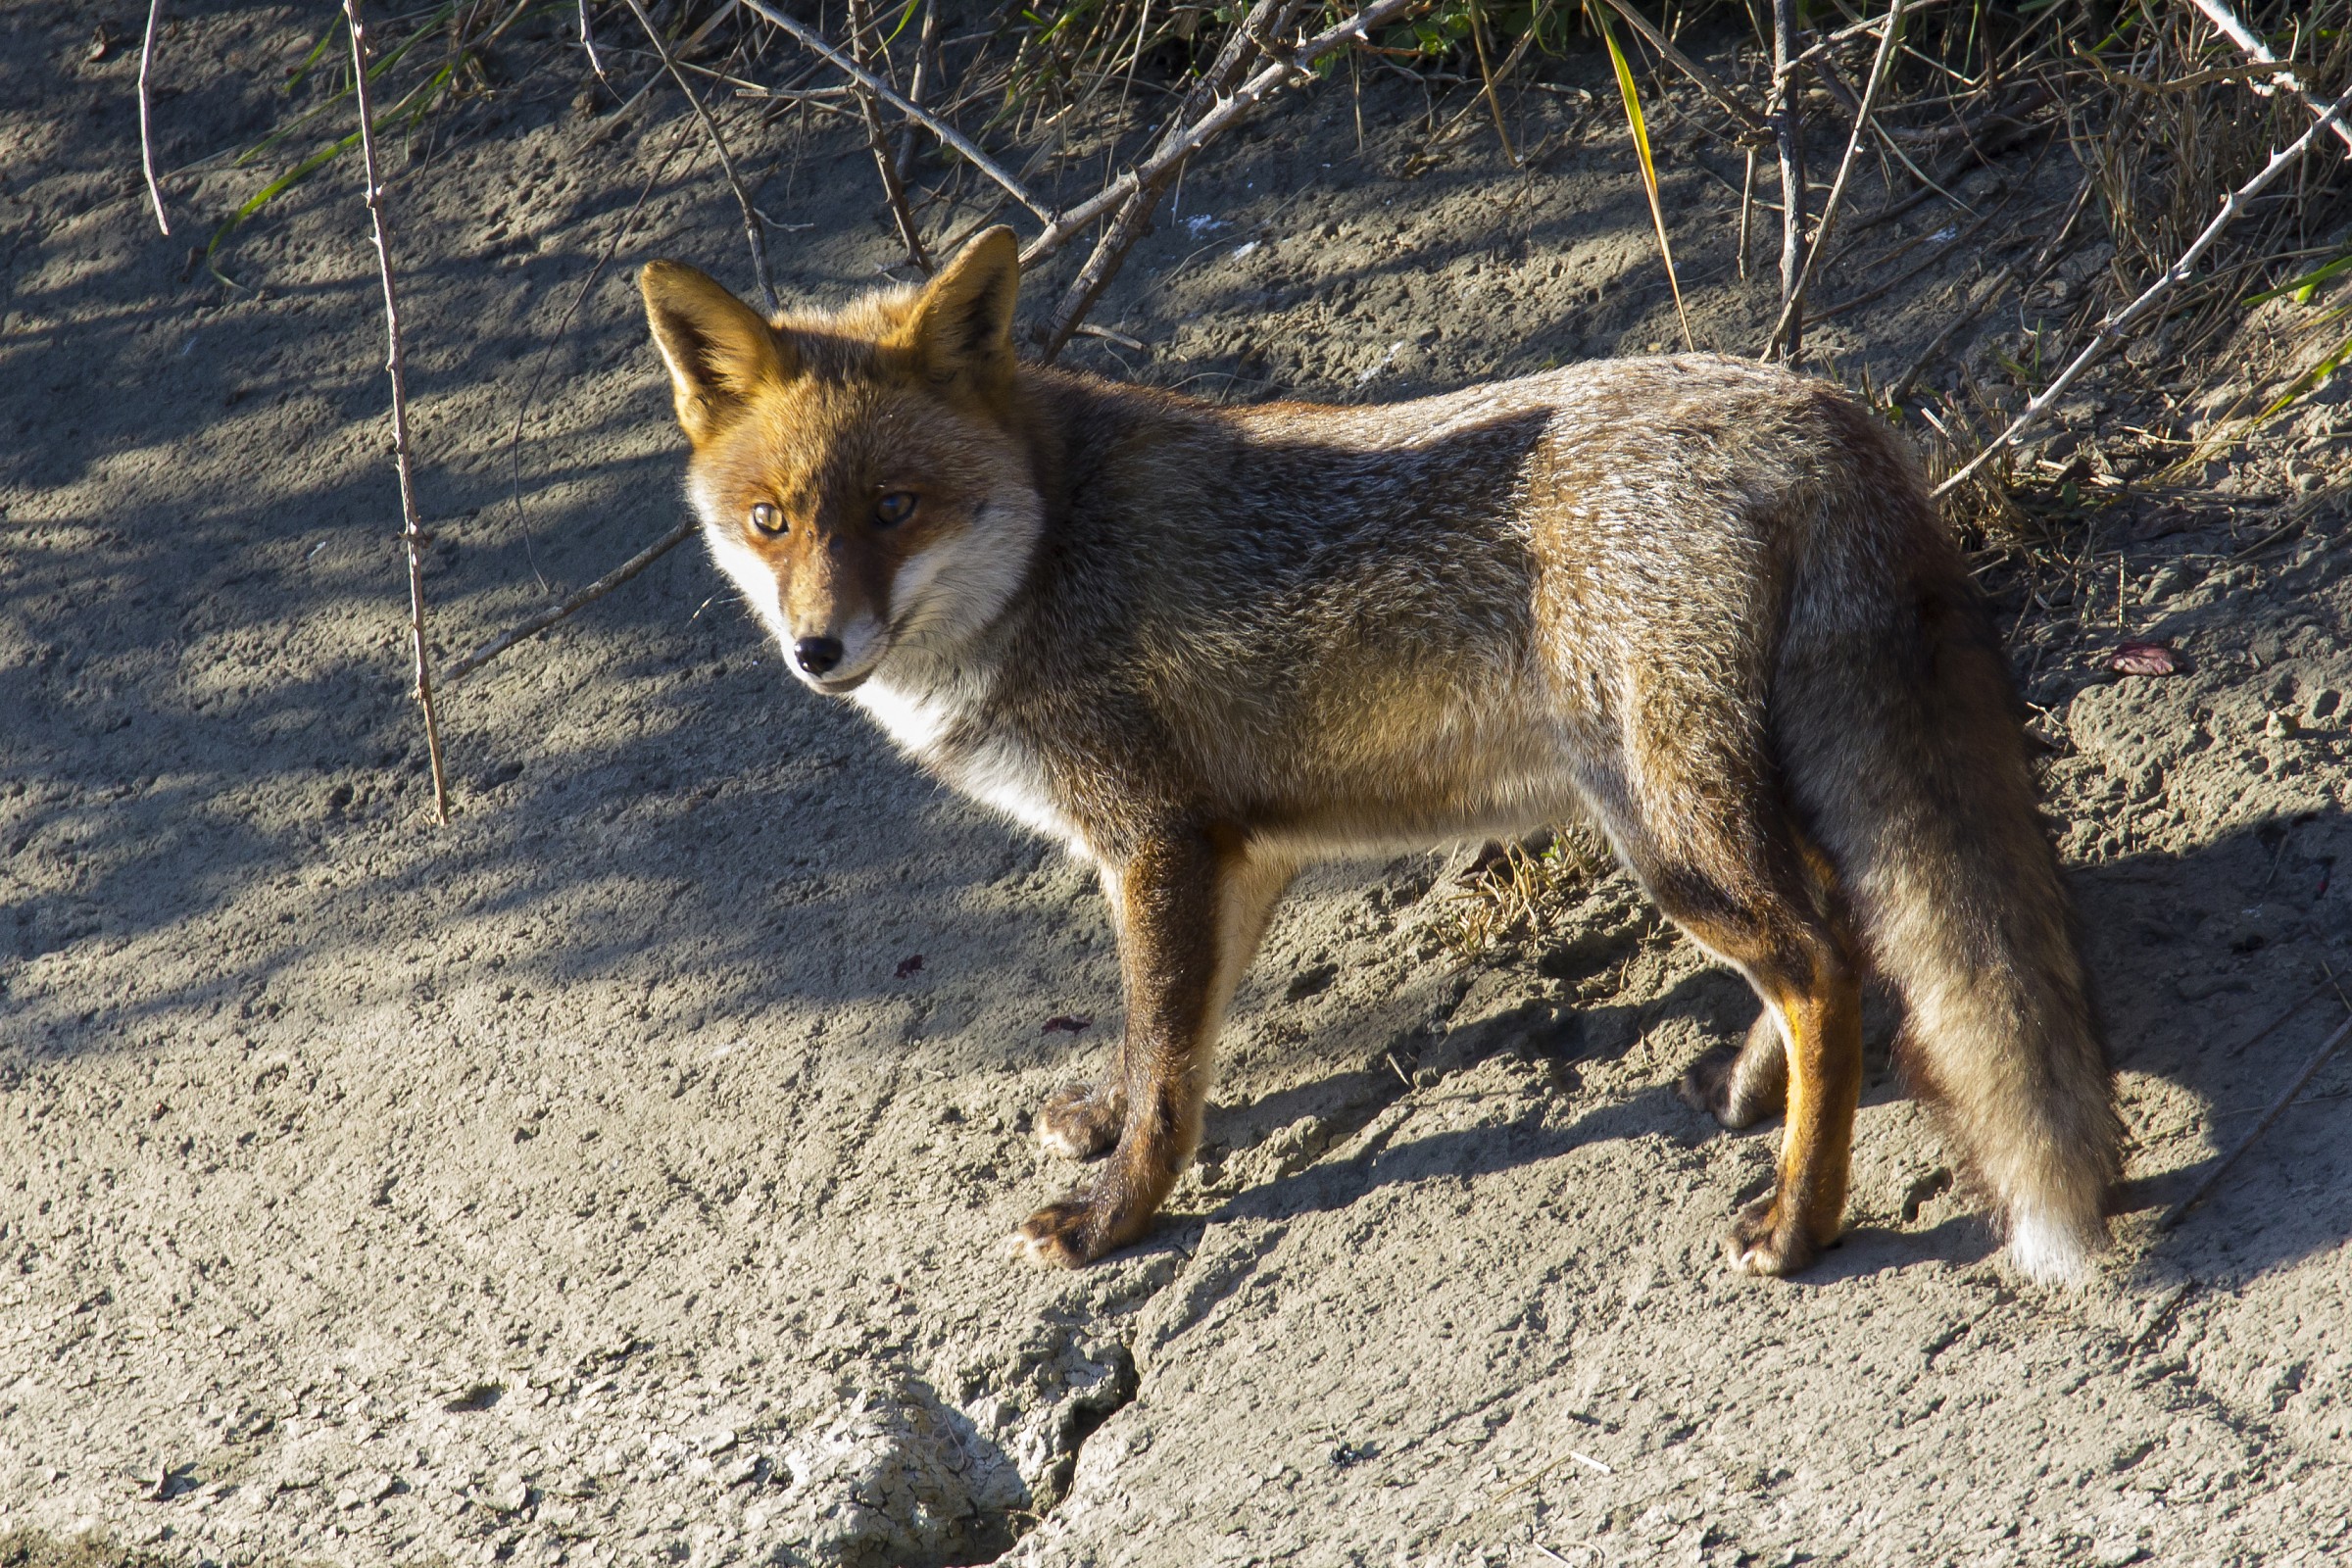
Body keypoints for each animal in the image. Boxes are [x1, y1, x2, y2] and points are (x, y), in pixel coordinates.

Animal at [638, 226, 2122, 1284]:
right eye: (771, 521)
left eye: (895, 507)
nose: (817, 648)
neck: (1051, 544)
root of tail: (1816, 401)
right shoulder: (1231, 848)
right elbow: (1166, 1050)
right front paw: (1109, 1130)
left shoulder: (1154, 840)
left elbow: (1169, 1065)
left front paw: (1116, 1221)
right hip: (1728, 801)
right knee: (1845, 939)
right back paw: (1755, 1092)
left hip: (1660, 828)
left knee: (1817, 962)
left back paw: (1801, 1225)